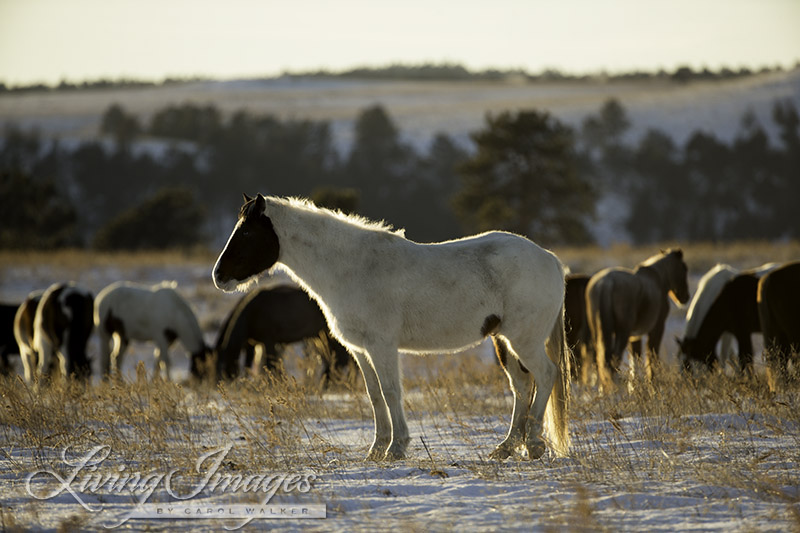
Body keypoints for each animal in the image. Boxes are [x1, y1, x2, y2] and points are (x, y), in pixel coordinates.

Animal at [214, 284, 352, 380]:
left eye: (223, 366)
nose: (222, 382)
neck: (251, 315)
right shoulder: (253, 344)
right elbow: (250, 365)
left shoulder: (268, 340)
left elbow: (271, 365)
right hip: (321, 337)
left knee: (340, 359)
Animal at [584, 247, 692, 384]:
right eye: (684, 268)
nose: (686, 297)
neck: (659, 280)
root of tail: (606, 284)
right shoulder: (657, 328)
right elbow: (651, 357)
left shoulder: (634, 336)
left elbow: (635, 361)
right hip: (622, 333)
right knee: (613, 359)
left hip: (598, 333)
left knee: (600, 360)